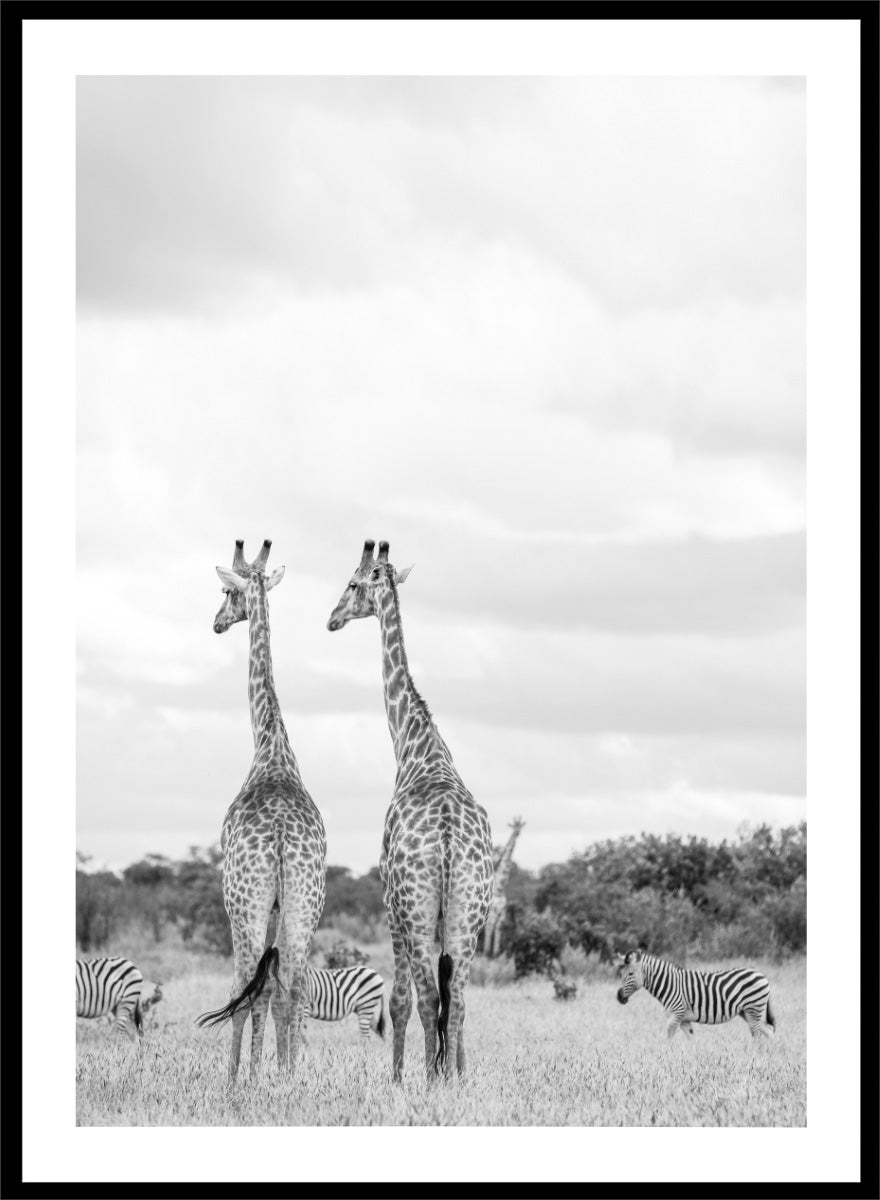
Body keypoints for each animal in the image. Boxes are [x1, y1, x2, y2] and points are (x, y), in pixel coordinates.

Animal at [327, 540, 494, 1081]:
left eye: (352, 583)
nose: (332, 618)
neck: (416, 747)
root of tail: (445, 839)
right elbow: (451, 1002)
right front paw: (454, 1071)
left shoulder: (389, 905)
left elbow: (399, 1001)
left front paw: (398, 1078)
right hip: (469, 915)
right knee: (457, 1000)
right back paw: (452, 1078)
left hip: (417, 914)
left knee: (426, 999)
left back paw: (428, 1079)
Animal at [483, 817, 525, 958]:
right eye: (514, 826)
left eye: (520, 826)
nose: (517, 833)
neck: (499, 888)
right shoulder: (492, 912)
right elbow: (489, 929)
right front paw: (486, 954)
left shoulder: (501, 912)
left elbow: (498, 930)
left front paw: (495, 954)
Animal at [614, 949, 776, 1039]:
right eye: (621, 973)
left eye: (630, 973)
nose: (619, 997)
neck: (670, 984)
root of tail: (762, 975)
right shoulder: (684, 1020)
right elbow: (691, 1040)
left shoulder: (676, 1014)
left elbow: (668, 1039)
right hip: (747, 1012)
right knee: (767, 1034)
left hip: (753, 1009)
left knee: (759, 1036)